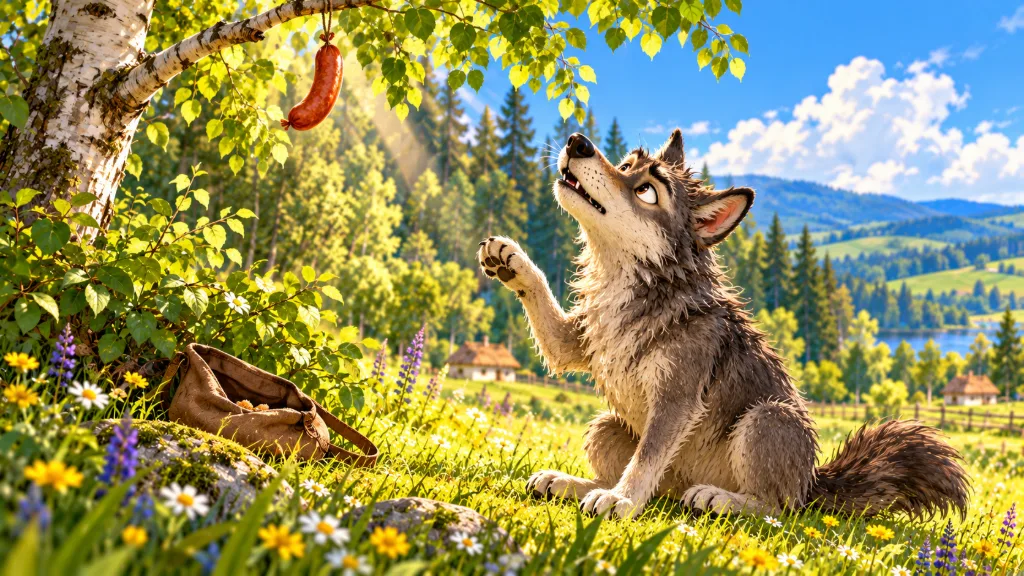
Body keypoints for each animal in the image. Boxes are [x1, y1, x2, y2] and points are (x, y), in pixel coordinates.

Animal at [477, 129, 969, 520]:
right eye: (625, 165)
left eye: (647, 191)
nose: (578, 141)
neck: (633, 284)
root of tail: (813, 484)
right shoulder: (573, 342)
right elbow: (542, 300)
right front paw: (510, 260)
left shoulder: (677, 400)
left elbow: (646, 459)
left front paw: (622, 501)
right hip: (604, 426)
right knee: (654, 487)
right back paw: (570, 483)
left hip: (767, 418)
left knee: (776, 508)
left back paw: (718, 499)